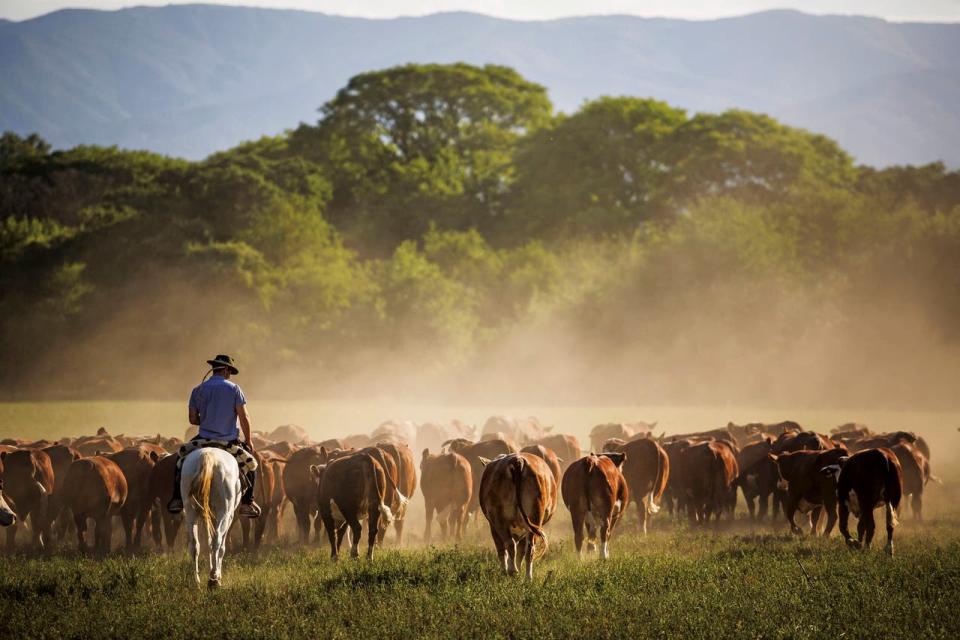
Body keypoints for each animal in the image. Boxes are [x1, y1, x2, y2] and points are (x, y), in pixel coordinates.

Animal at [181, 448, 240, 588]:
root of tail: (208, 455)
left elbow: (207, 543)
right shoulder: (229, 516)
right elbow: (221, 547)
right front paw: (217, 573)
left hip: (191, 512)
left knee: (195, 544)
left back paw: (196, 580)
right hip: (224, 512)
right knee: (217, 540)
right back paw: (214, 579)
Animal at [478, 452, 556, 584]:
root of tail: (517, 460)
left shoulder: (492, 526)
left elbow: (502, 549)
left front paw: (506, 570)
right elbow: (521, 551)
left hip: (498, 518)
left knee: (509, 544)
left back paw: (510, 572)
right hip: (534, 516)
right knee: (529, 549)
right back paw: (527, 578)